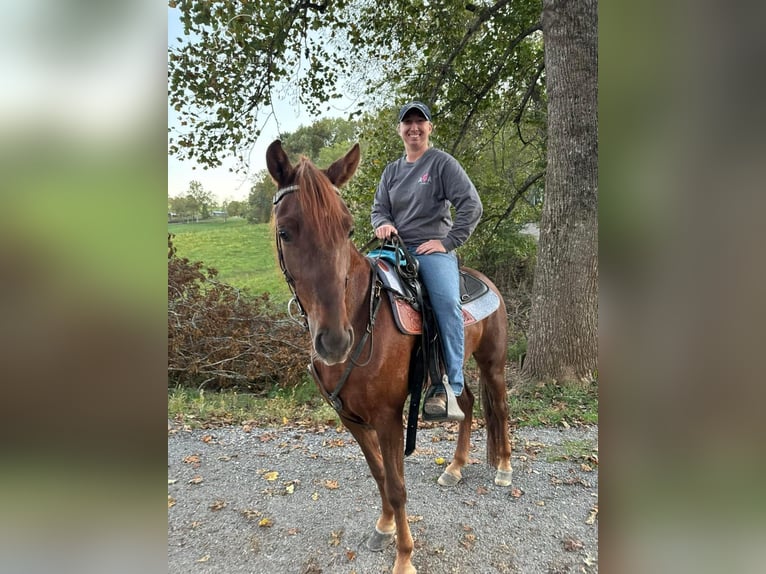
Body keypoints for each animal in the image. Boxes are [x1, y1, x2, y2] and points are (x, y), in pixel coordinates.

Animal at [268, 141, 512, 574]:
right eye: (285, 231)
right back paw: (455, 467)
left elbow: (397, 487)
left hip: (492, 364)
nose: (334, 341)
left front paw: (404, 558)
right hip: (453, 370)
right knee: (466, 404)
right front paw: (382, 529)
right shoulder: (351, 419)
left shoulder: (388, 417)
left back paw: (503, 469)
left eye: (347, 228)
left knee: (499, 407)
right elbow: (379, 475)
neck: (362, 315)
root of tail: (484, 280)